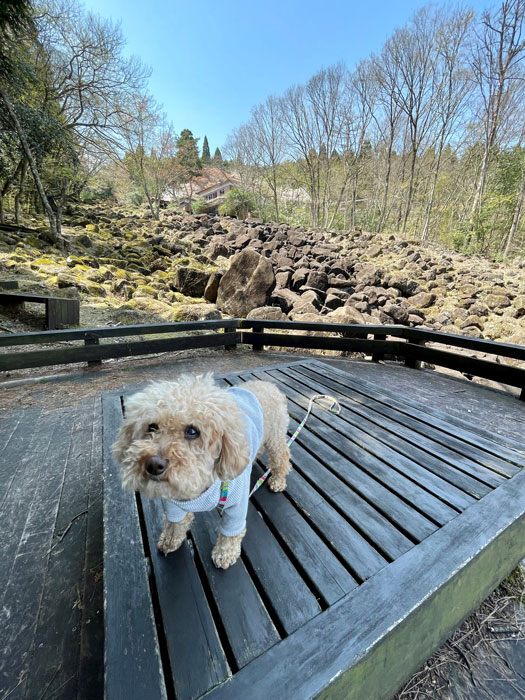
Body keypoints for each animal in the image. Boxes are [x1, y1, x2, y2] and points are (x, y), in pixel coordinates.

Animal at [112, 374, 290, 568]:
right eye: (152, 427)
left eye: (192, 431)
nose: (153, 464)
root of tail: (268, 384)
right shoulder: (173, 503)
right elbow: (175, 523)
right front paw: (170, 540)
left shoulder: (237, 504)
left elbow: (230, 532)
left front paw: (224, 553)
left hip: (275, 437)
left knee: (282, 456)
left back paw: (278, 480)